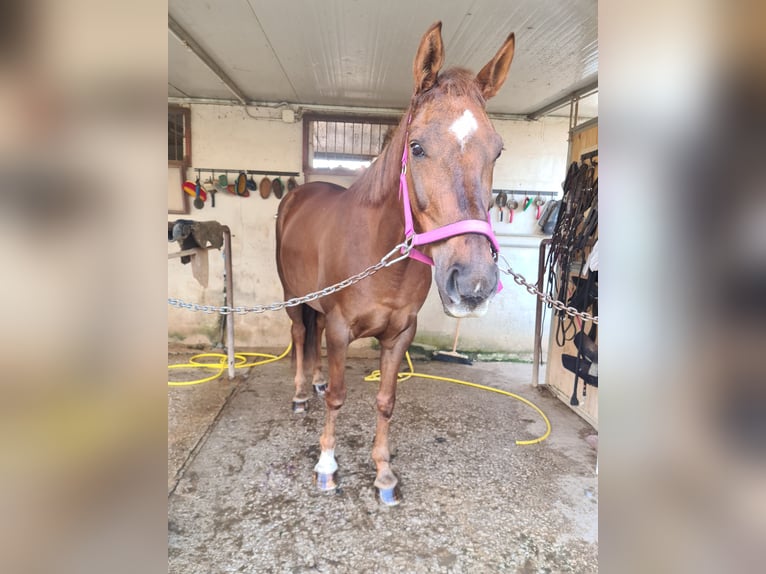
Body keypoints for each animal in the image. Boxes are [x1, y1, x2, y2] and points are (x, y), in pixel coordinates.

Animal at [276, 22, 516, 506]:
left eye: (497, 151)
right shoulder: (340, 329)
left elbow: (386, 401)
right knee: (299, 334)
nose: (474, 284)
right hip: (293, 297)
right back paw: (300, 394)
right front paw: (327, 466)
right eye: (417, 147)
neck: (380, 257)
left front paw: (384, 473)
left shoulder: (400, 334)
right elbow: (337, 397)